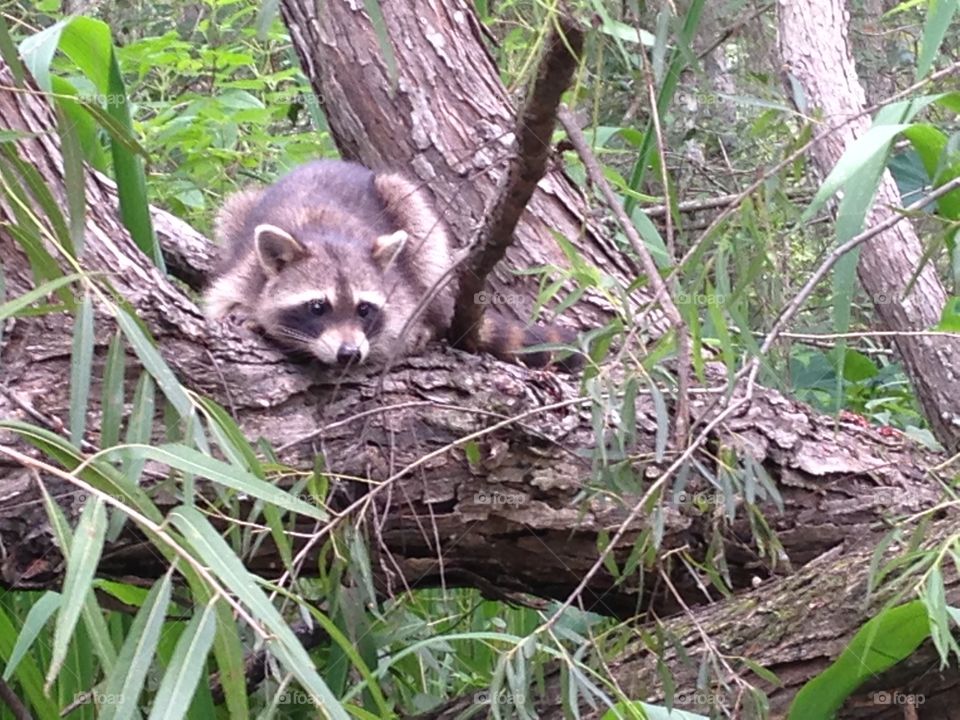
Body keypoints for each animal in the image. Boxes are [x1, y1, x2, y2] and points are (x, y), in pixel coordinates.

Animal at [203, 160, 579, 370]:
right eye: (317, 307)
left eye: (364, 309)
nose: (349, 354)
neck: (325, 235)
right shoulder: (247, 269)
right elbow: (223, 297)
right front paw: (247, 314)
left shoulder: (399, 288)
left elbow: (400, 322)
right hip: (242, 209)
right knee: (234, 209)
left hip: (403, 200)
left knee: (426, 244)